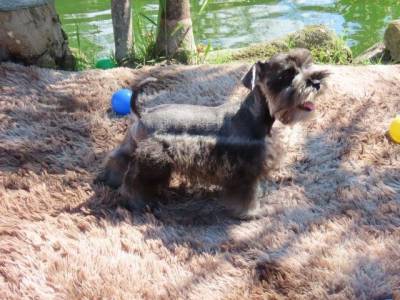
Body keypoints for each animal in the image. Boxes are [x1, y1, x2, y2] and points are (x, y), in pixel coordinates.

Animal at [97, 49, 328, 218]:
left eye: (306, 66)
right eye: (287, 74)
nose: (316, 83)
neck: (252, 116)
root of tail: (143, 112)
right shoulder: (244, 170)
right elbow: (247, 195)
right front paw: (252, 213)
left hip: (134, 148)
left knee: (117, 159)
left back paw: (111, 180)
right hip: (151, 159)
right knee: (135, 183)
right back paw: (139, 203)